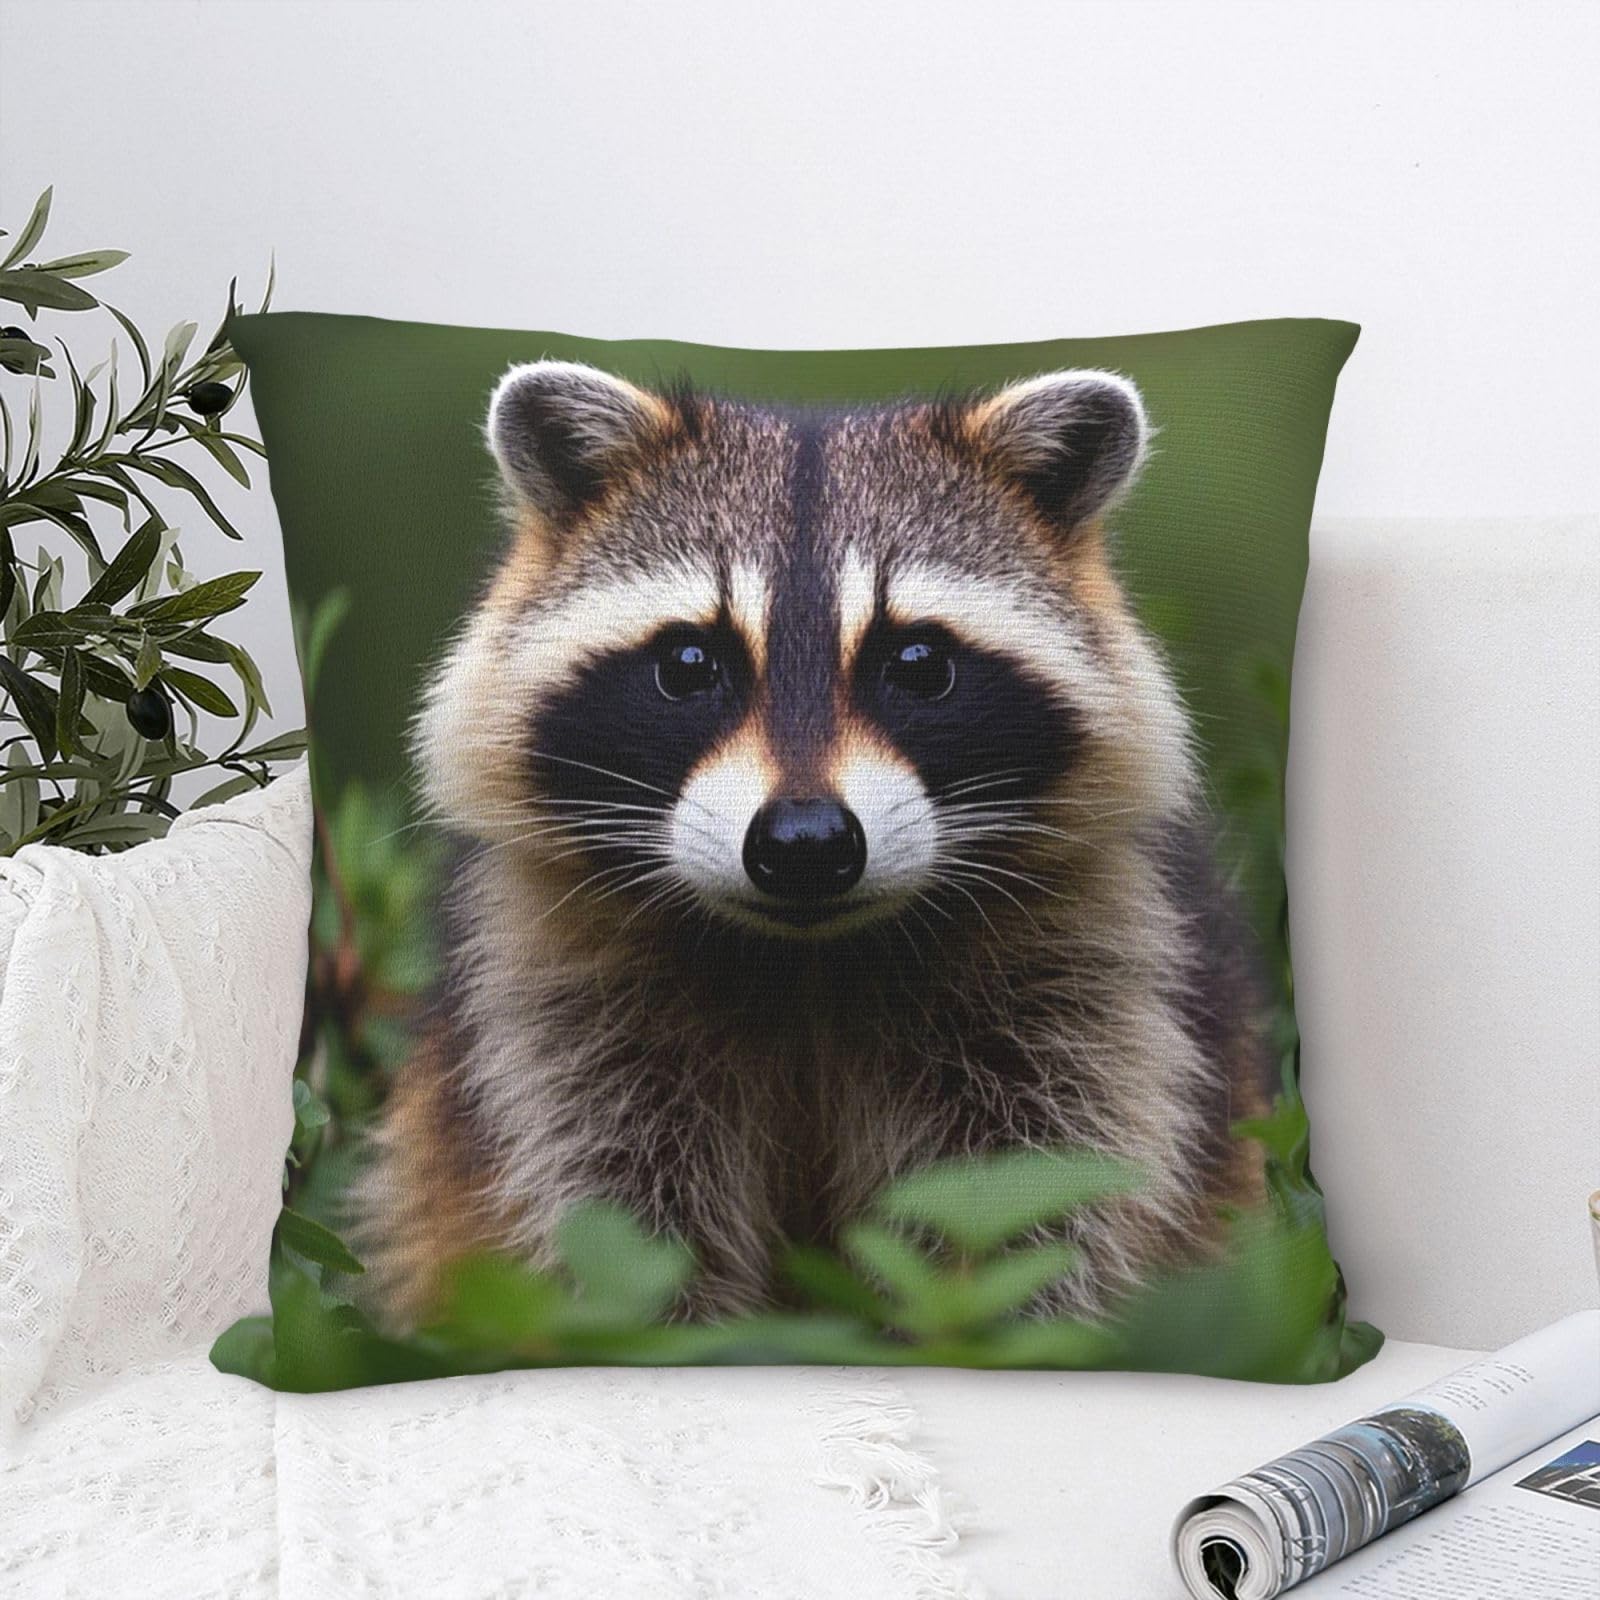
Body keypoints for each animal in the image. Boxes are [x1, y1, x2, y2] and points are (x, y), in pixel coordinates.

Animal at [358, 359, 1272, 1329]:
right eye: (689, 664)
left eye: (918, 664)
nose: (804, 842)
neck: (808, 958)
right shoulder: (551, 994)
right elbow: (615, 1220)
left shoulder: (1091, 977)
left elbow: (1036, 1204)